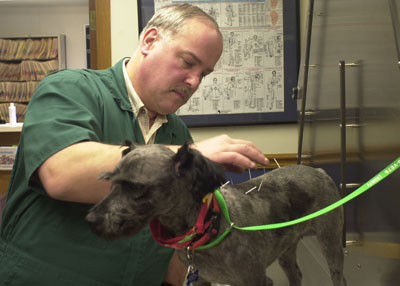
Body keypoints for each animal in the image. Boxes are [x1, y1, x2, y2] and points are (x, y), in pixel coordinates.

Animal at [85, 142, 346, 284]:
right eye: (111, 183)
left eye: (136, 187)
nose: (90, 220)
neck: (212, 226)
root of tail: (319, 171)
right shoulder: (201, 280)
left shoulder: (257, 280)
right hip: (287, 249)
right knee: (296, 275)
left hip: (331, 241)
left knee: (338, 276)